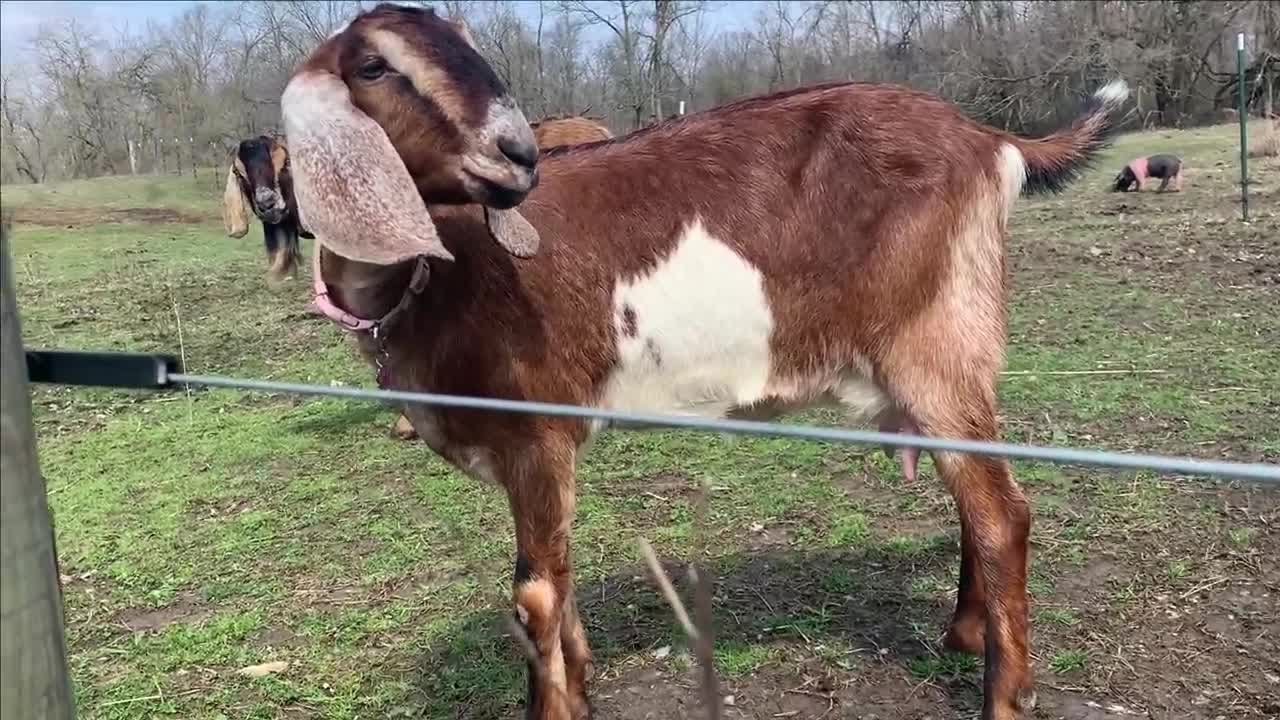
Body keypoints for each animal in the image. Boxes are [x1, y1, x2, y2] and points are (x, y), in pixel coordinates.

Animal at [278, 5, 1130, 719]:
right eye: (374, 65)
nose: (516, 152)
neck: (439, 272)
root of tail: (990, 138)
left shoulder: (537, 430)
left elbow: (536, 594)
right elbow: (561, 576)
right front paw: (582, 689)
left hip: (937, 343)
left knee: (1002, 515)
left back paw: (1004, 697)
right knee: (978, 496)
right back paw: (965, 633)